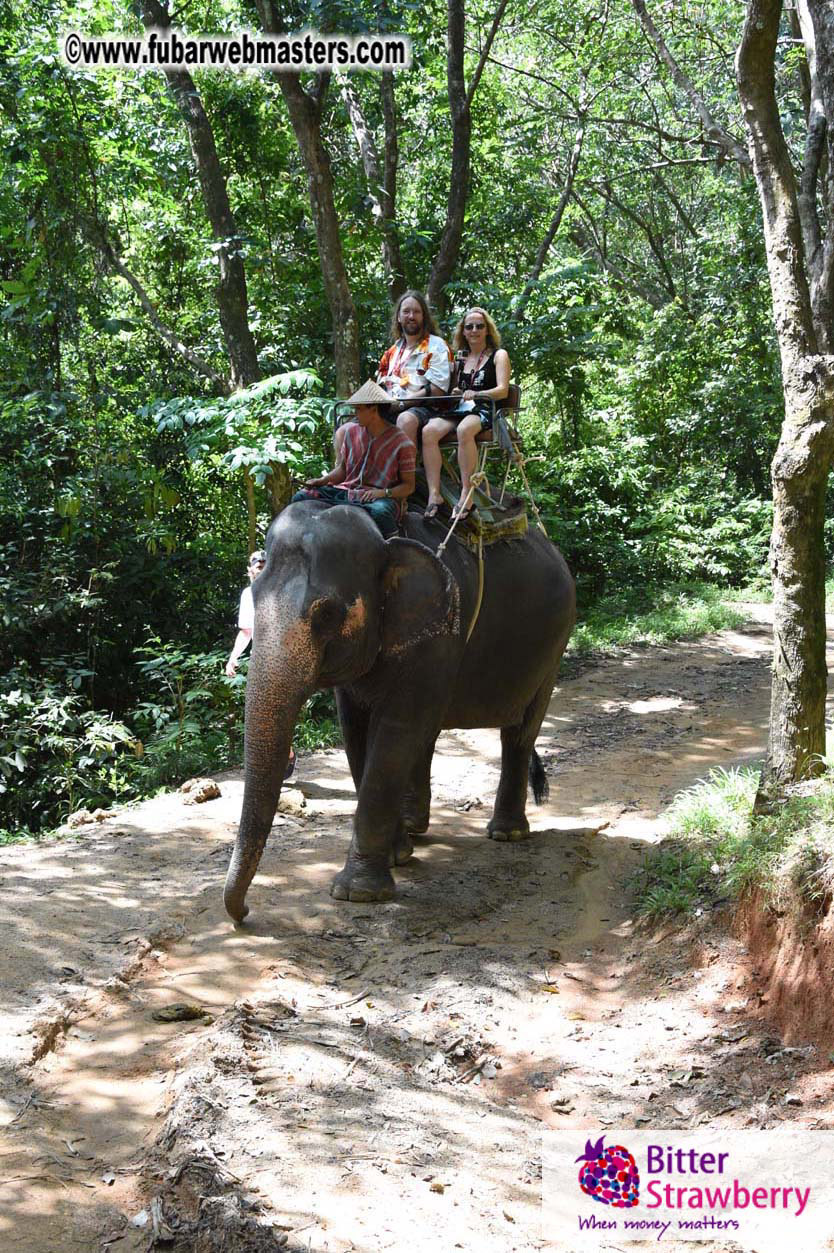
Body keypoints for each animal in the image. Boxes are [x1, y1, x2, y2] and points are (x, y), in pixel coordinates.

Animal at [224, 500, 576, 923]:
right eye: (253, 599)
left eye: (328, 614)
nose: (244, 913)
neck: (384, 538)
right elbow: (356, 732)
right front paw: (396, 857)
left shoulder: (439, 633)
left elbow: (395, 731)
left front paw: (359, 892)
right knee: (432, 734)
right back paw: (414, 826)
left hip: (555, 645)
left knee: (520, 732)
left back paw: (506, 833)